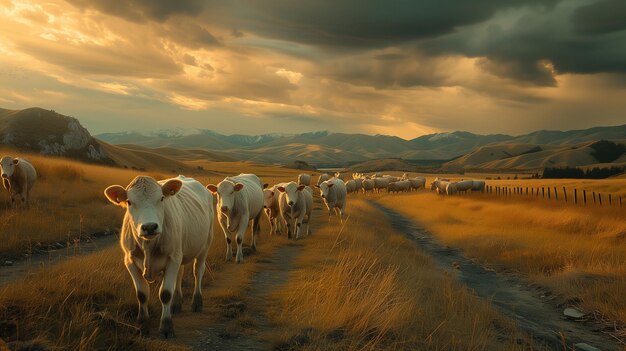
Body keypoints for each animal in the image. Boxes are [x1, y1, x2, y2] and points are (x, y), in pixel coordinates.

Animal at [103, 175, 213, 338]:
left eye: (161, 198)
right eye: (129, 202)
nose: (149, 226)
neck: (148, 246)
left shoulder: (172, 259)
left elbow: (165, 293)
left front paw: (166, 327)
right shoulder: (130, 261)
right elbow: (142, 294)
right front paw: (143, 325)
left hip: (204, 246)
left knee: (198, 271)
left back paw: (197, 302)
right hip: (180, 252)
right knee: (179, 274)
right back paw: (176, 304)